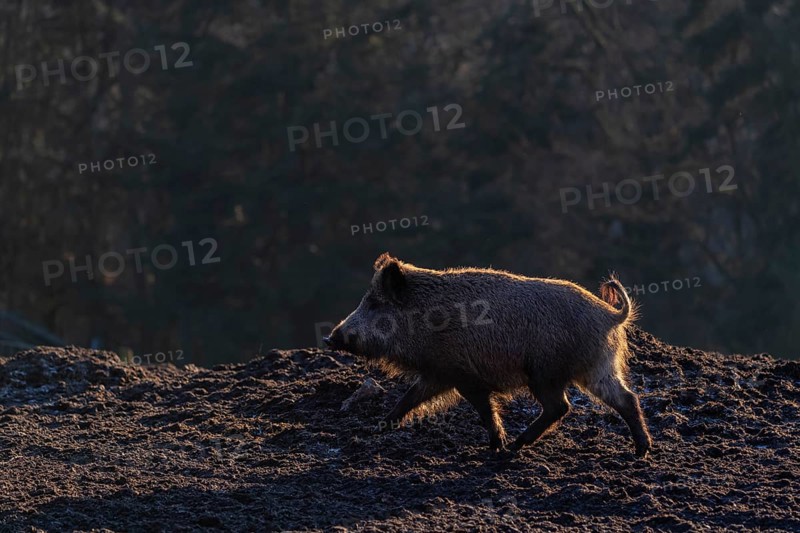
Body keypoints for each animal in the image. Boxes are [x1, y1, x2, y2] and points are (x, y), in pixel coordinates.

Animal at [324, 252, 652, 458]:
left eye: (375, 304)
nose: (330, 338)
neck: (424, 319)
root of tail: (611, 315)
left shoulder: (463, 375)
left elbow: (484, 409)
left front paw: (496, 446)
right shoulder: (437, 373)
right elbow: (407, 400)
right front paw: (375, 428)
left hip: (545, 372)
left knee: (560, 407)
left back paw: (515, 447)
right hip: (596, 369)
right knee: (626, 398)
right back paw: (641, 452)